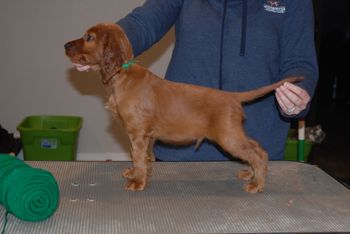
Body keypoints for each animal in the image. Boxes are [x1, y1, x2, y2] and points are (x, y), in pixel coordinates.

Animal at [65, 22, 300, 193]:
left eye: (89, 37)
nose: (65, 45)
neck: (122, 73)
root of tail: (232, 96)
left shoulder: (138, 133)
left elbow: (137, 156)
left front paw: (138, 181)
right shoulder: (146, 136)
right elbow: (142, 157)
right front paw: (138, 173)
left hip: (228, 136)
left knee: (258, 153)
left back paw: (256, 184)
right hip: (232, 133)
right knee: (257, 148)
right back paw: (250, 174)